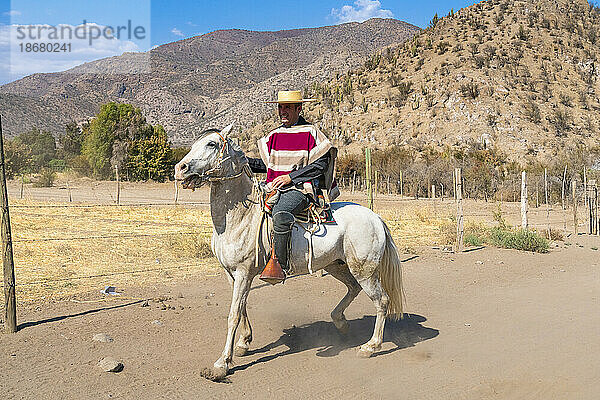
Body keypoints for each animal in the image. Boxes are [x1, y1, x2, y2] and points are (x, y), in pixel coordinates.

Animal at [176, 123, 406, 380]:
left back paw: (370, 346)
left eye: (212, 144)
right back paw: (341, 323)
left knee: (381, 300)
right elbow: (242, 307)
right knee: (353, 288)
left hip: (364, 270)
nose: (180, 169)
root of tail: (375, 217)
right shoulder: (231, 274)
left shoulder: (244, 273)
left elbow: (233, 314)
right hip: (336, 265)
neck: (240, 218)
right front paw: (244, 342)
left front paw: (222, 364)